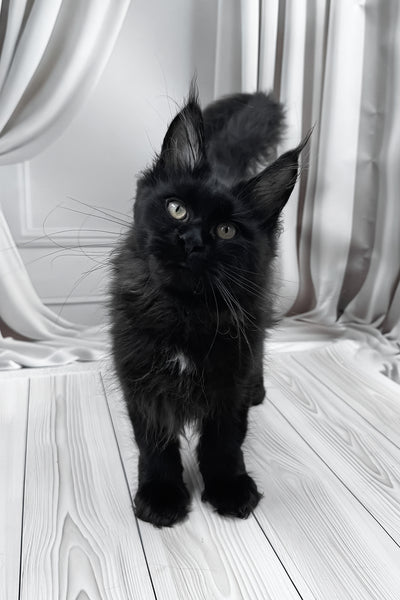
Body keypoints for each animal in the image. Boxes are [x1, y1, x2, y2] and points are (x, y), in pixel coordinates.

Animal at [110, 83, 307, 527]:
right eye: (177, 209)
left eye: (226, 230)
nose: (192, 241)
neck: (184, 314)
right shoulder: (141, 380)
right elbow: (155, 444)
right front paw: (161, 496)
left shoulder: (230, 381)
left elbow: (224, 442)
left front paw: (229, 487)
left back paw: (259, 390)